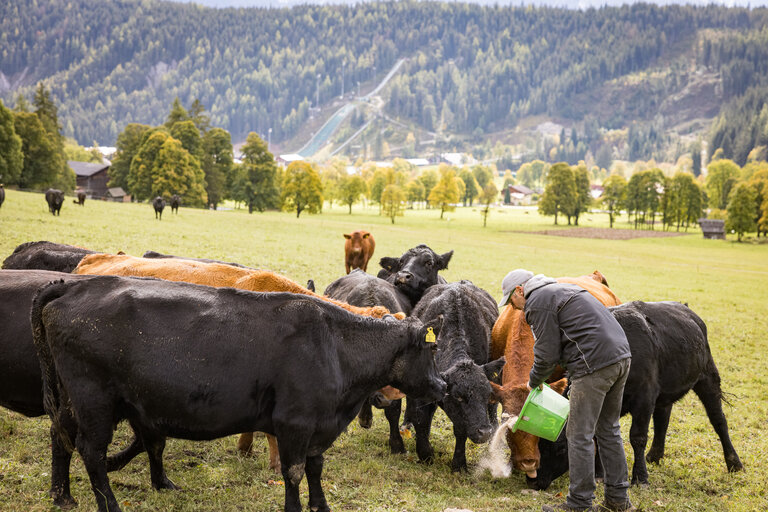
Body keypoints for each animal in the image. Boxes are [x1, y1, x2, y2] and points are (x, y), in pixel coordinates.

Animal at [33, 276, 448, 512]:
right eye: (431, 348)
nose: (443, 385)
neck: (334, 345)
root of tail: (72, 284)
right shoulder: (294, 422)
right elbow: (294, 471)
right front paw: (296, 508)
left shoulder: (319, 425)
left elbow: (315, 468)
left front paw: (321, 506)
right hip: (94, 401)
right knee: (91, 451)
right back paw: (110, 505)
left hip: (74, 401)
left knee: (63, 436)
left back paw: (66, 494)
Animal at [404, 280, 508, 472]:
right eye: (458, 396)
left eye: (486, 393)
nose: (484, 432)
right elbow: (421, 418)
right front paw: (425, 453)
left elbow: (460, 430)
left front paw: (459, 464)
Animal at [532, 302, 740, 490]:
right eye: (539, 443)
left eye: (560, 448)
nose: (534, 480)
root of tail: (686, 309)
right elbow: (599, 436)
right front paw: (600, 473)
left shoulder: (644, 398)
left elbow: (637, 437)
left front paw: (640, 478)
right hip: (665, 393)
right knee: (663, 419)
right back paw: (654, 456)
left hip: (708, 377)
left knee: (719, 420)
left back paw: (734, 463)